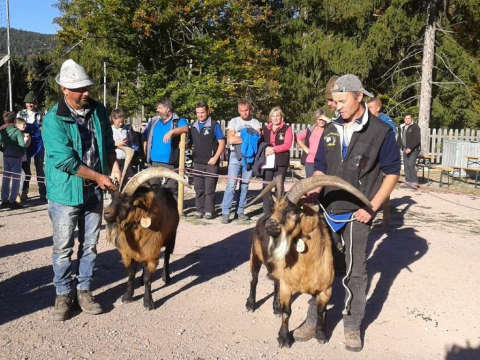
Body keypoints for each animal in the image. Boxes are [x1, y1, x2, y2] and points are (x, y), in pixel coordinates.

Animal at [104, 166, 189, 310]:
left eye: (127, 202)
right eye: (113, 197)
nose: (106, 213)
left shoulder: (152, 252)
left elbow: (148, 279)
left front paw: (148, 303)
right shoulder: (130, 253)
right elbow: (131, 274)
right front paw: (127, 297)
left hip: (171, 237)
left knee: (166, 256)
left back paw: (166, 278)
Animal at [244, 176, 372, 348]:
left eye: (292, 212)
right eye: (275, 208)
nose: (269, 225)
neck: (306, 267)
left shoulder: (325, 289)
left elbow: (321, 311)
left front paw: (321, 335)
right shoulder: (287, 286)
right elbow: (287, 312)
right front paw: (284, 339)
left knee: (275, 282)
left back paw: (275, 308)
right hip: (255, 255)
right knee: (254, 279)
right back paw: (251, 305)